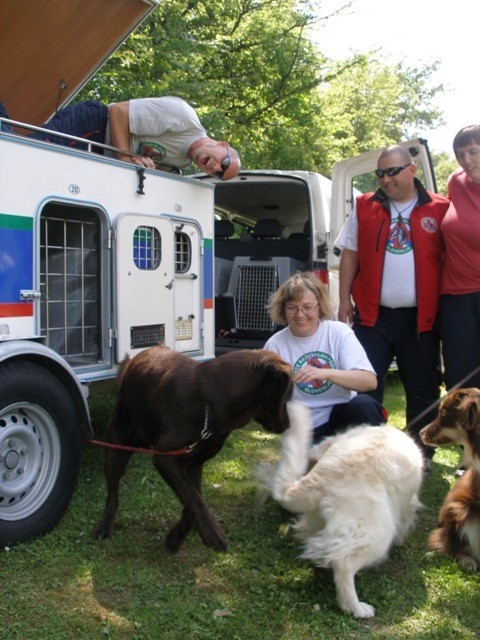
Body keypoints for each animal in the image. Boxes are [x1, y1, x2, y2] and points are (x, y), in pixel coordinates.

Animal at [91, 348, 290, 552]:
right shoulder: (166, 459)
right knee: (113, 494)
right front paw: (213, 535)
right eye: (287, 396)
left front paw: (176, 537)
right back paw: (105, 527)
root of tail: (133, 361)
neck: (209, 401)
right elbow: (194, 499)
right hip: (116, 448)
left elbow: (193, 498)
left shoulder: (194, 461)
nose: (289, 424)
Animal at [262, 402, 424, 616]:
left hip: (317, 517)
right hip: (377, 532)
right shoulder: (408, 502)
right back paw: (356, 607)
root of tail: (324, 475)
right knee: (343, 563)